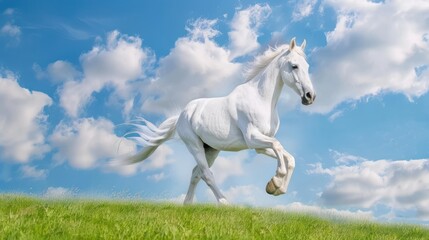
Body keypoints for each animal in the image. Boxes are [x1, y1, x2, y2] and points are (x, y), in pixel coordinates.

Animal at [123, 38, 314, 205]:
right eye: (294, 66)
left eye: (307, 66)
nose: (310, 96)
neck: (260, 98)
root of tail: (181, 115)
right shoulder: (253, 138)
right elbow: (278, 146)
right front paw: (276, 182)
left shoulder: (259, 147)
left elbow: (289, 158)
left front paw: (277, 188)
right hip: (195, 146)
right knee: (206, 174)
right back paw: (225, 203)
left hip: (211, 149)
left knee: (196, 173)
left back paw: (188, 204)